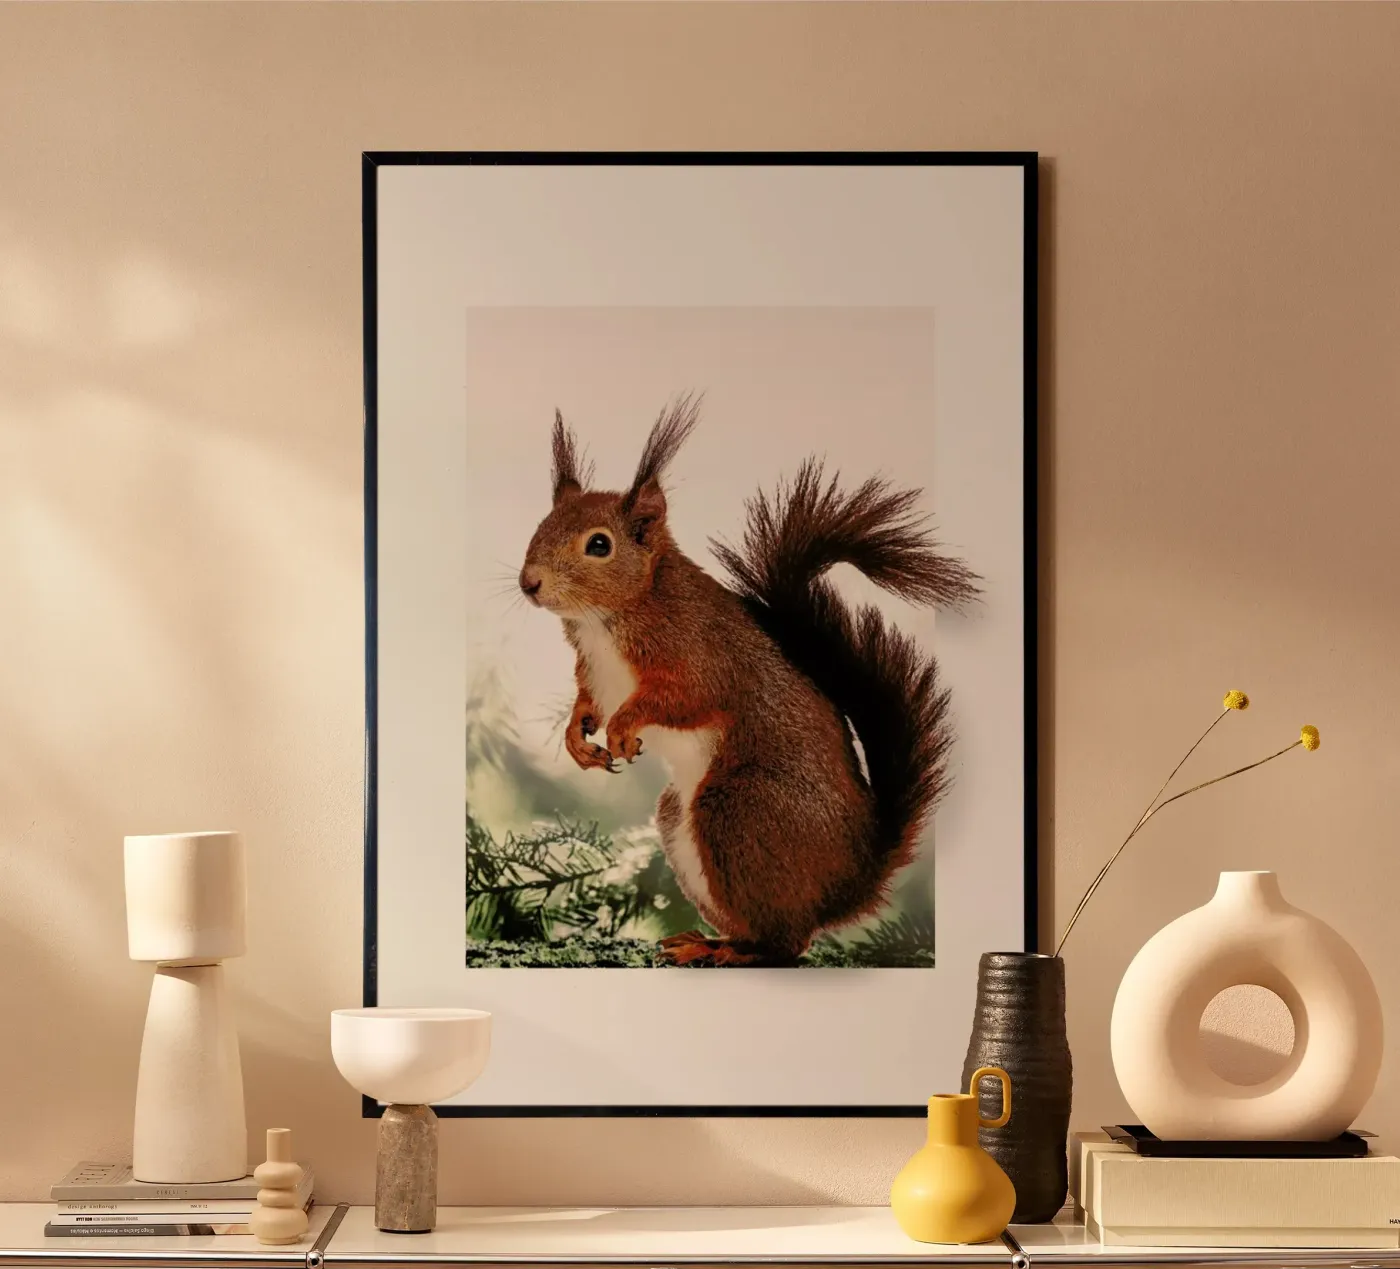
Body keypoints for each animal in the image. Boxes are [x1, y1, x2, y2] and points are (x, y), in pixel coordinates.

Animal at [519, 396, 980, 966]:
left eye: (598, 545)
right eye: (542, 524)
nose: (529, 583)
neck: (607, 619)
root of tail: (852, 881)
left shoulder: (700, 657)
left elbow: (682, 699)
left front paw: (624, 728)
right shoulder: (594, 672)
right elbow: (588, 702)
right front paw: (576, 738)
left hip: (739, 810)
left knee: (787, 945)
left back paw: (733, 953)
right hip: (684, 821)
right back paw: (709, 941)